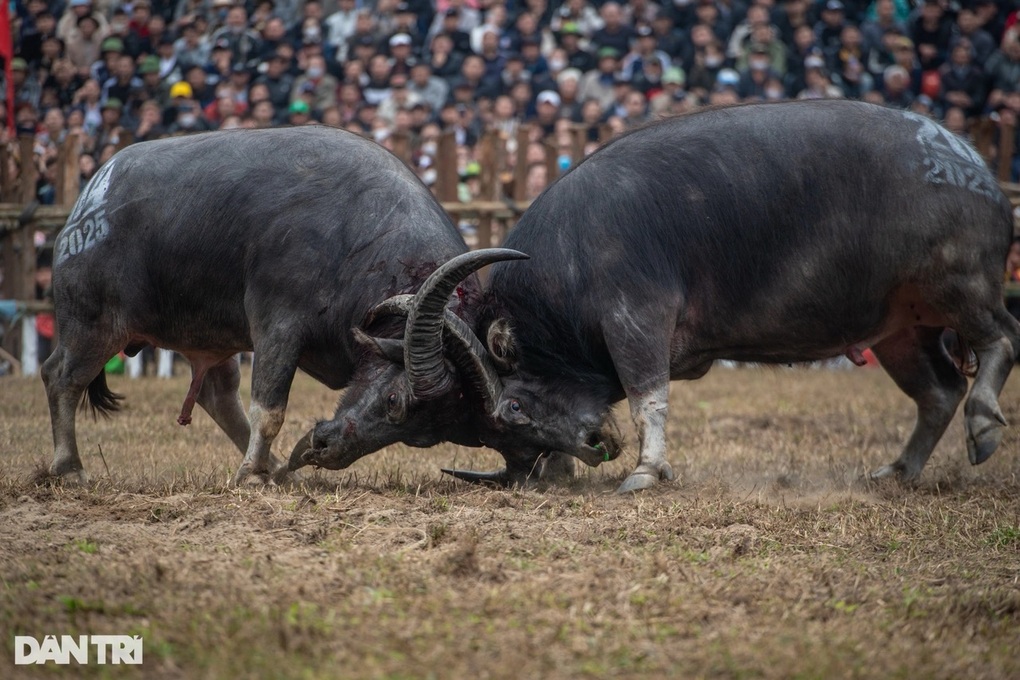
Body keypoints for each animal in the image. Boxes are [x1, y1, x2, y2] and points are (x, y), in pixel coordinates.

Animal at [42, 126, 522, 483]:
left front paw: (262, 470)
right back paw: (68, 468)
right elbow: (270, 409)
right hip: (92, 323)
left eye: (421, 438)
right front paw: (251, 476)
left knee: (216, 393)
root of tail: (90, 195)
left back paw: (276, 469)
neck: (357, 238)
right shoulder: (278, 326)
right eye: (395, 401)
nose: (326, 451)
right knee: (61, 376)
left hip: (208, 335)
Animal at [301, 99, 1020, 495]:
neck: (570, 260)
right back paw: (898, 470)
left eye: (509, 412)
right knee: (937, 392)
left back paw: (985, 425)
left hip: (961, 286)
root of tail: (974, 167)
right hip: (899, 329)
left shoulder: (635, 319)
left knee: (1000, 340)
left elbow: (650, 395)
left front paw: (645, 473)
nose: (593, 444)